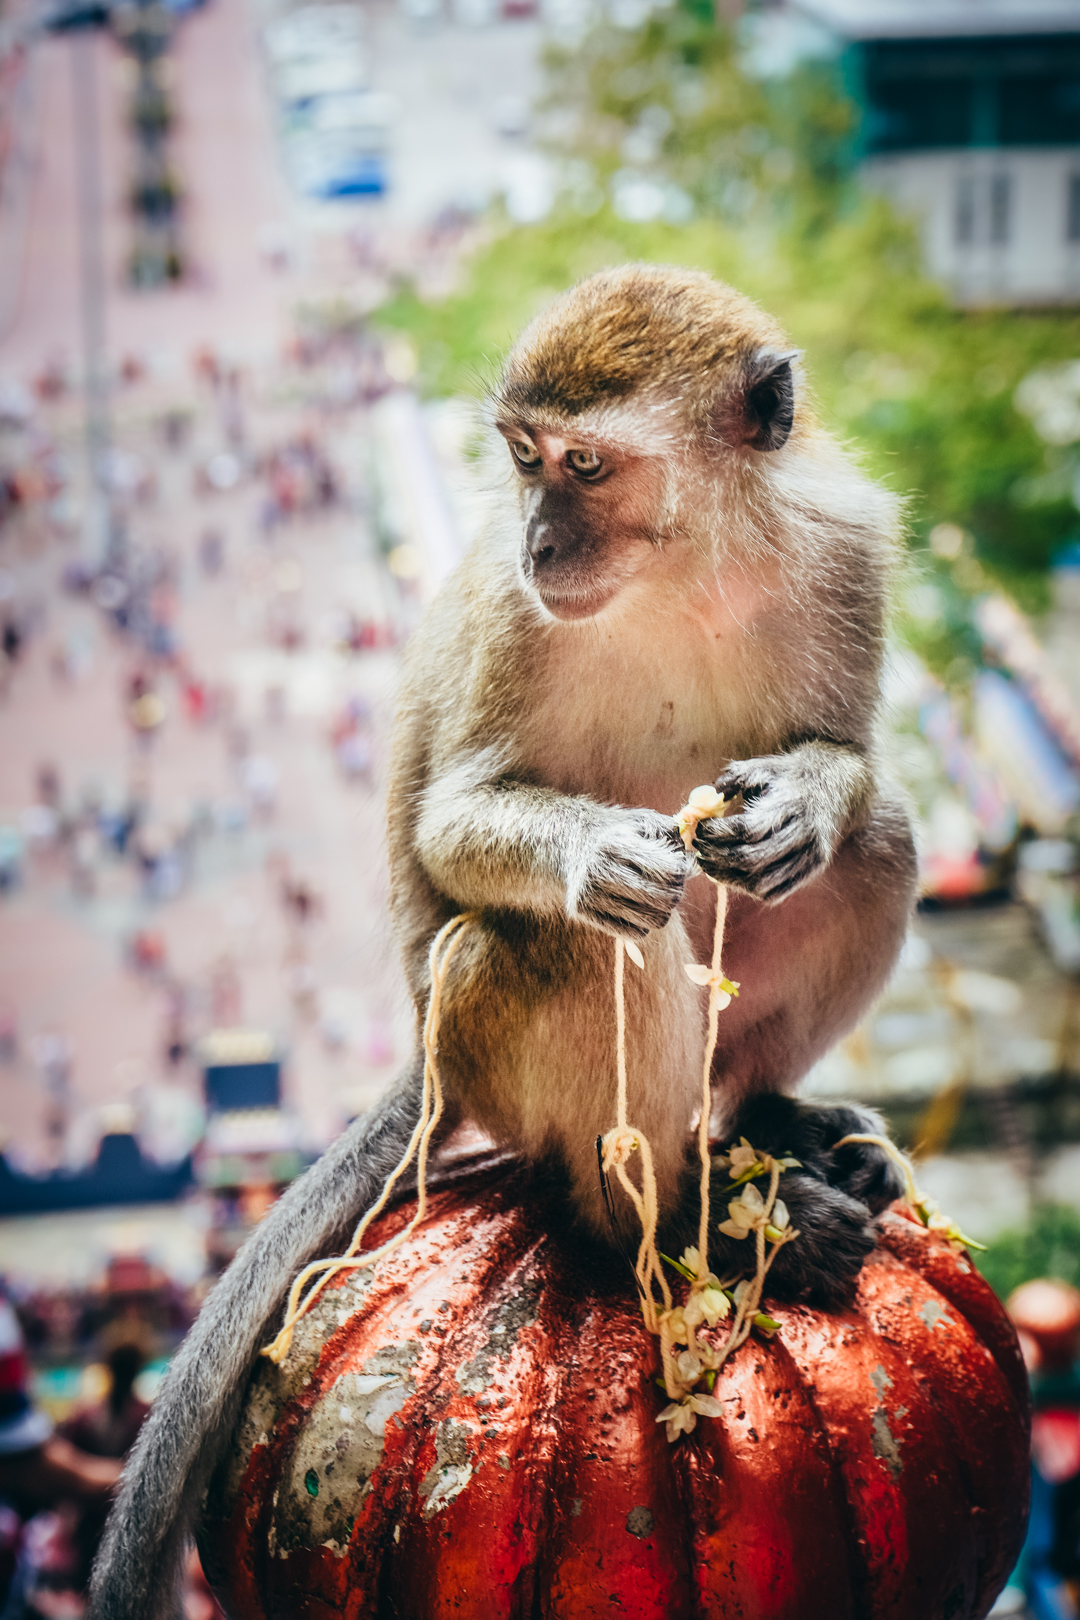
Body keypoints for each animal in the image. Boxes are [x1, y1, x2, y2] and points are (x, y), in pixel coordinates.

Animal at [88, 268, 919, 1620]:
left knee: (880, 844)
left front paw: (805, 796)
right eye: (526, 458)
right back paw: (669, 1216)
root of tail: (430, 1053)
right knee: (597, 949)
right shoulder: (513, 619)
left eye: (587, 464)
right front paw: (592, 857)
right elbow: (459, 825)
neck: (685, 567)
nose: (539, 543)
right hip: (478, 1032)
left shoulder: (844, 553)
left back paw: (762, 1119)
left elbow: (848, 767)